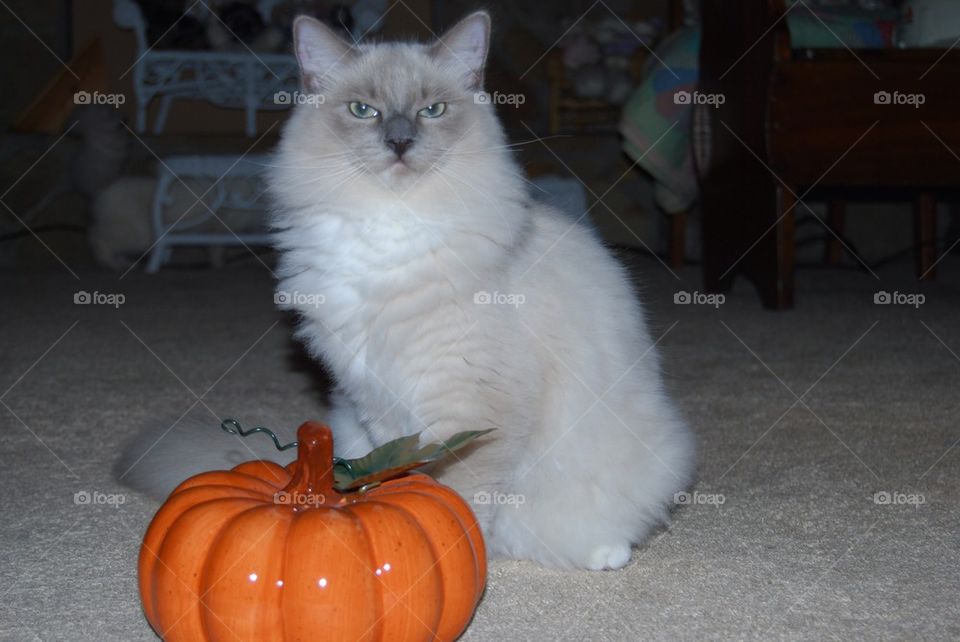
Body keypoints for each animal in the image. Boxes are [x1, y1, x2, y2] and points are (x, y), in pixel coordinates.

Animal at [116, 12, 692, 568]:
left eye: (432, 110)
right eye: (362, 110)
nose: (398, 142)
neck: (388, 228)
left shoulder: (471, 408)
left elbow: (460, 500)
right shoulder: (374, 398)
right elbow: (399, 478)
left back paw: (604, 553)